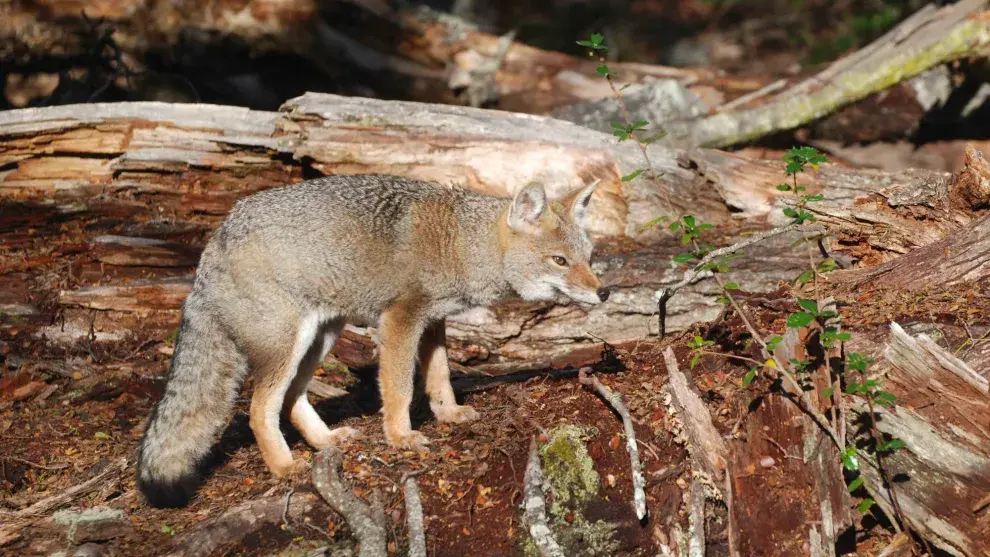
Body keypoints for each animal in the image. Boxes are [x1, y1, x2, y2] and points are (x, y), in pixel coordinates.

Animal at [136, 175, 608, 508]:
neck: (459, 242)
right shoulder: (400, 318)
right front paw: (400, 437)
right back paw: (285, 466)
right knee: (258, 410)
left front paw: (449, 414)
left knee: (291, 401)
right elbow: (398, 388)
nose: (603, 293)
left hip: (320, 338)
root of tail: (215, 238)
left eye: (589, 258)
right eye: (559, 261)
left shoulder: (432, 320)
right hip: (290, 345)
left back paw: (325, 441)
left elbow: (439, 377)